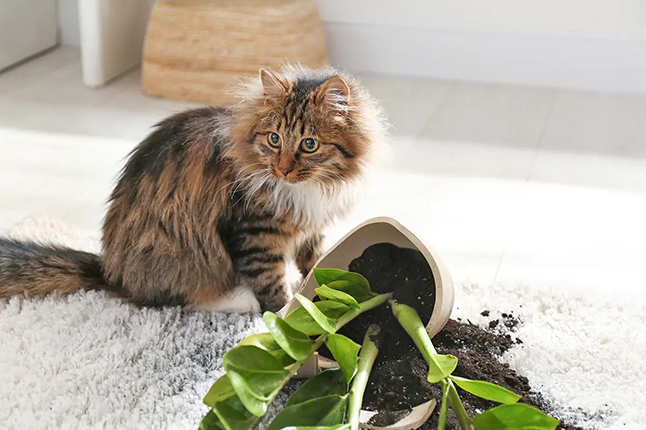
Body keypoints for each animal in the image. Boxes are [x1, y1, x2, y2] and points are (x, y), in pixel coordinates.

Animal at [0, 64, 384, 312]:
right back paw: (239, 300)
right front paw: (285, 316)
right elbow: (270, 284)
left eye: (309, 144)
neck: (309, 188)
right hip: (180, 250)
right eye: (274, 139)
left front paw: (324, 284)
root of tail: (110, 270)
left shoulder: (311, 226)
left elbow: (316, 261)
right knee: (179, 300)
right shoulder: (254, 233)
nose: (283, 169)